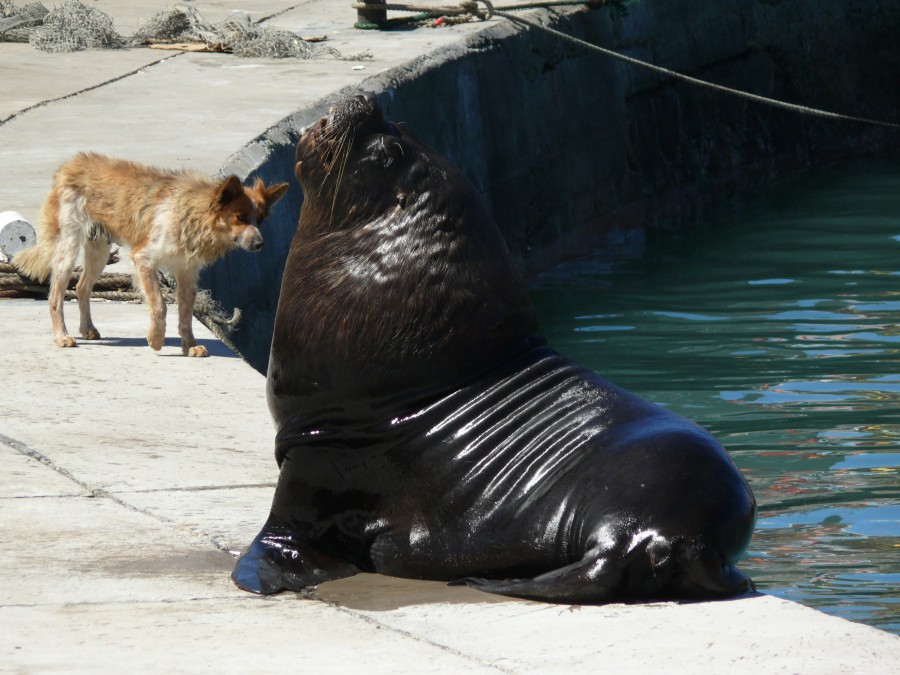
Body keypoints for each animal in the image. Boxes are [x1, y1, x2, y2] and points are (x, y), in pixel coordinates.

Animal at [14, 151, 288, 356]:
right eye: (240, 218)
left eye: (260, 219)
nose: (260, 244)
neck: (193, 215)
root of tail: (70, 165)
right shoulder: (143, 259)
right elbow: (159, 305)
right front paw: (156, 339)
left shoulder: (187, 273)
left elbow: (186, 314)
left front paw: (189, 346)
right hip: (69, 246)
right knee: (55, 296)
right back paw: (62, 336)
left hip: (99, 249)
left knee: (81, 287)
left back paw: (87, 328)